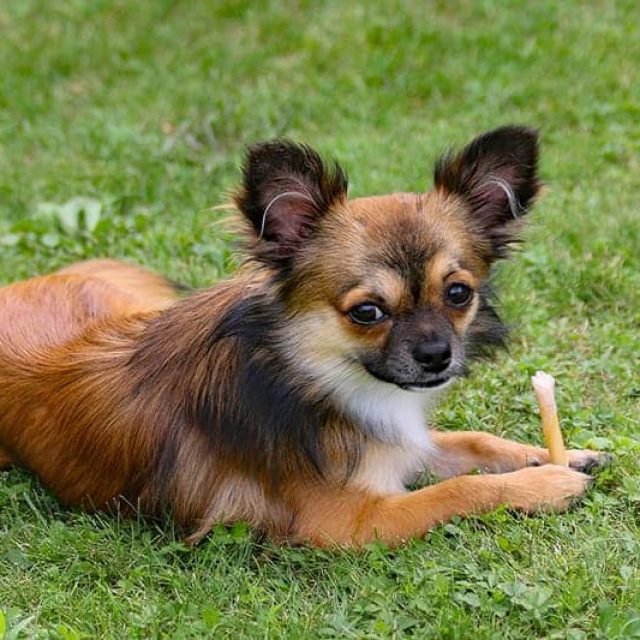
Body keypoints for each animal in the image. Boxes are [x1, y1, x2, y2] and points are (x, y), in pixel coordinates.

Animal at [0, 126, 606, 547]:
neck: (318, 377)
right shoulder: (352, 520)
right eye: (367, 311)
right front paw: (544, 485)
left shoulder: (397, 446)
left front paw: (559, 456)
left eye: (458, 293)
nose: (437, 355)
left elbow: (476, 443)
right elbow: (461, 489)